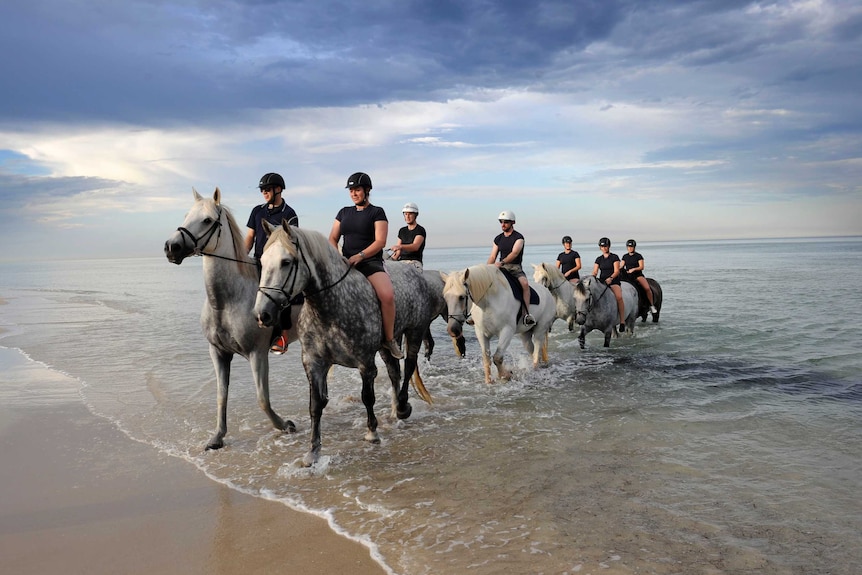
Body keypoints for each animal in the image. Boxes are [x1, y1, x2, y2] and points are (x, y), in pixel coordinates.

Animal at [165, 189, 300, 450]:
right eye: (186, 215)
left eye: (207, 220)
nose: (171, 247)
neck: (226, 302)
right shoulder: (218, 353)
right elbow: (221, 396)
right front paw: (218, 437)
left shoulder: (257, 354)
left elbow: (263, 399)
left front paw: (284, 425)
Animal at [253, 222, 436, 468]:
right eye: (263, 261)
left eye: (286, 262)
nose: (262, 314)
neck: (329, 307)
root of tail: (415, 273)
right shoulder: (313, 363)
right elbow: (315, 406)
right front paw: (313, 452)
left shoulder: (365, 363)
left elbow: (367, 397)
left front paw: (372, 433)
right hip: (388, 343)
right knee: (394, 371)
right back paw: (394, 410)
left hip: (415, 332)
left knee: (408, 367)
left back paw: (403, 407)